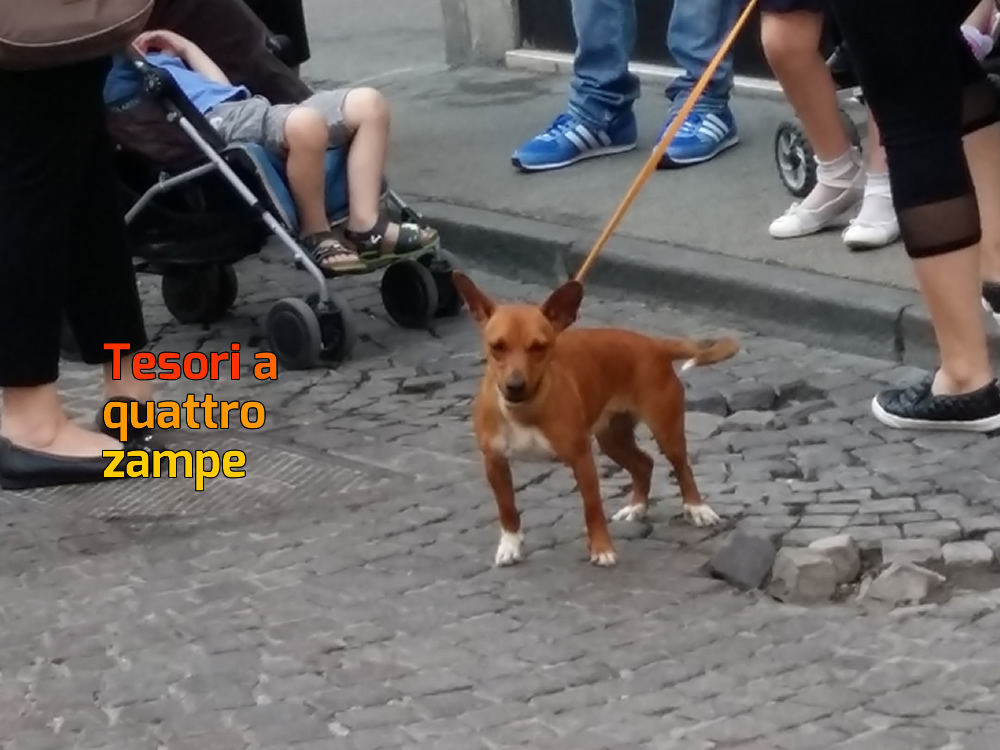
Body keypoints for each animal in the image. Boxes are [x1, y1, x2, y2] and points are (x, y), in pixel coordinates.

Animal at [458, 272, 740, 568]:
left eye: (539, 347)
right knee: (644, 464)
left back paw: (696, 508)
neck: (524, 408)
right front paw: (510, 545)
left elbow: (592, 508)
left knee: (682, 467)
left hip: (666, 431)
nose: (514, 386)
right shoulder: (495, 463)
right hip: (612, 440)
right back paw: (637, 506)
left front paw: (601, 548)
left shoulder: (582, 459)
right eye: (497, 347)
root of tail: (653, 344)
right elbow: (507, 508)